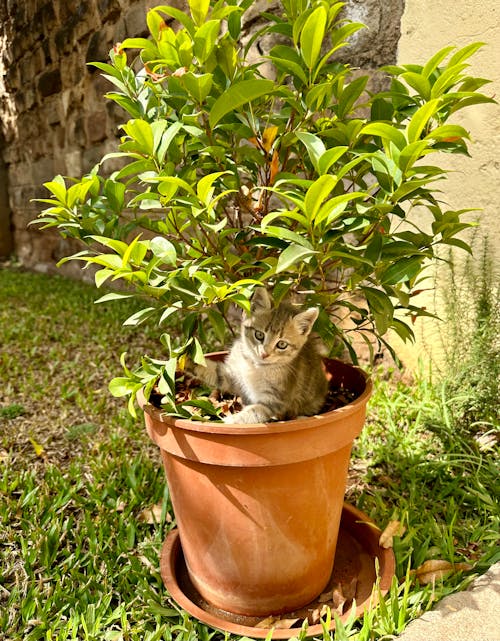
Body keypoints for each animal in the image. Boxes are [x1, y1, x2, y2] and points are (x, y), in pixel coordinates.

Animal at [187, 288, 328, 420]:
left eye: (282, 344)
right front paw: (186, 360)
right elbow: (213, 371)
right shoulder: (232, 375)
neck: (255, 366)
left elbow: (252, 413)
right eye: (259, 335)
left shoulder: (273, 401)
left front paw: (230, 421)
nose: (265, 354)